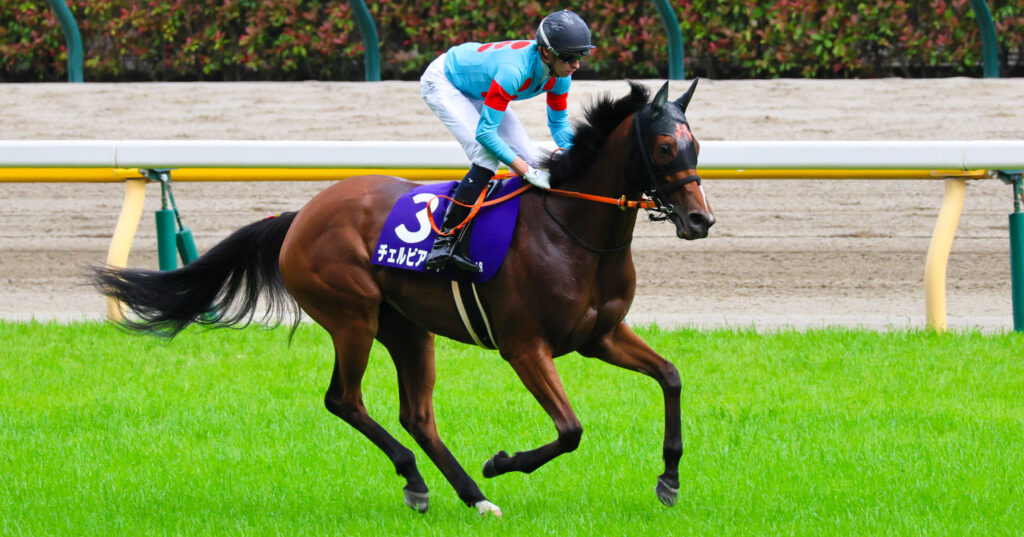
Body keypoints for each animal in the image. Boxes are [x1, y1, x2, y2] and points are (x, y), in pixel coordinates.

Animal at [91, 80, 715, 516]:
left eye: (698, 146)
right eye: (665, 145)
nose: (700, 220)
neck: (571, 229)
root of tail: (299, 217)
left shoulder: (599, 335)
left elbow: (671, 377)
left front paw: (669, 479)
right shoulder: (524, 346)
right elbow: (570, 430)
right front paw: (501, 462)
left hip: (408, 327)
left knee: (417, 415)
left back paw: (471, 497)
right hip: (353, 317)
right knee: (343, 400)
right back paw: (425, 481)